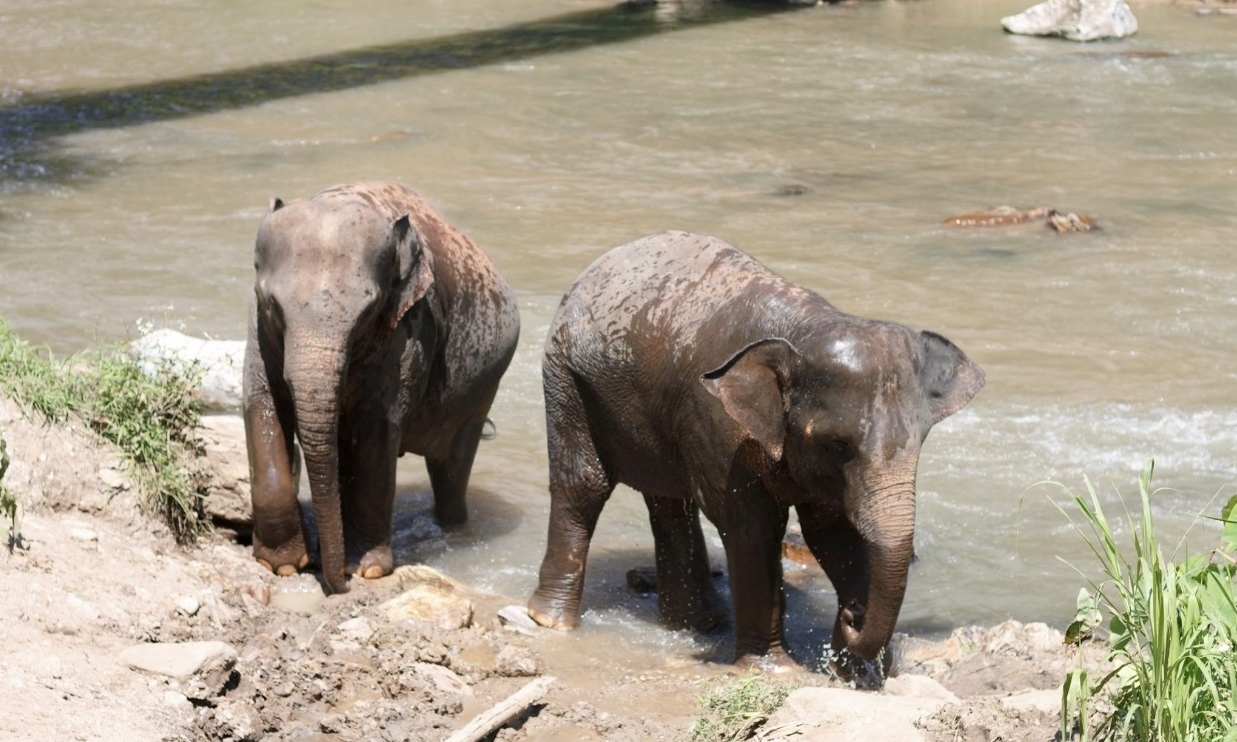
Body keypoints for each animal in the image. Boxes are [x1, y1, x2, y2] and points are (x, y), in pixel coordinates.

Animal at [243, 183, 519, 593]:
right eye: (273, 303)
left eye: (367, 311)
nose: (338, 585)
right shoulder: (257, 324)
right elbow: (263, 404)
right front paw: (283, 566)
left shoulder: (408, 330)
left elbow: (377, 428)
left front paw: (366, 570)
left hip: (482, 390)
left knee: (452, 469)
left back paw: (452, 528)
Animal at [529, 232, 984, 682]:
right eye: (838, 444)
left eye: (922, 440)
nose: (853, 615)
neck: (806, 328)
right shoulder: (718, 420)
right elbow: (752, 526)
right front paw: (775, 669)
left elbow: (831, 532)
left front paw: (860, 673)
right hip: (566, 378)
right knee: (584, 485)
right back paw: (550, 621)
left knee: (669, 503)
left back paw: (698, 625)